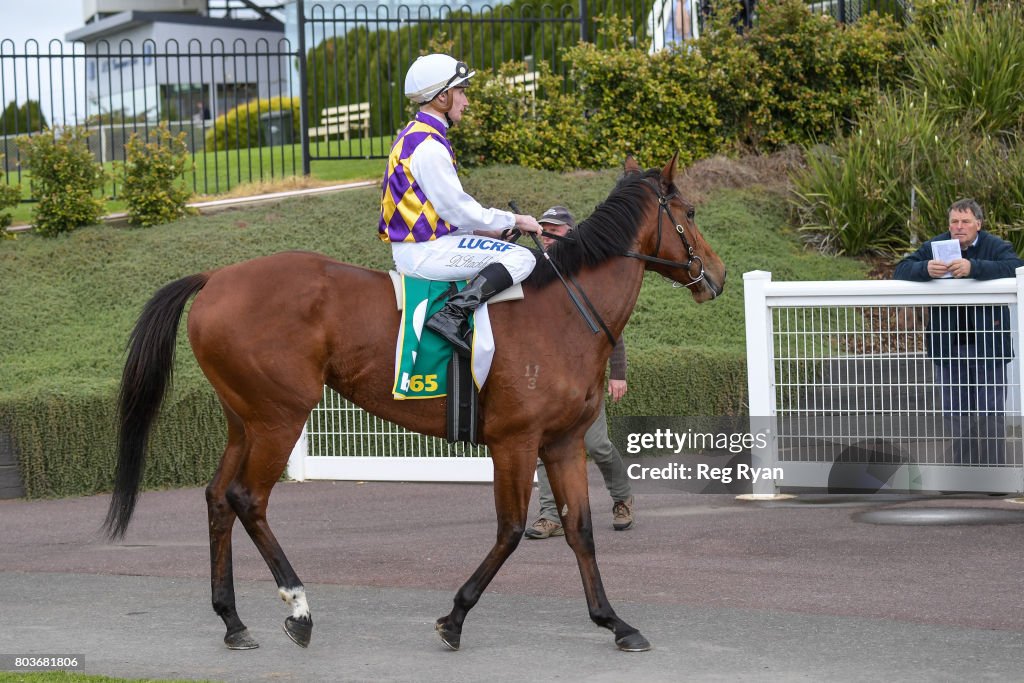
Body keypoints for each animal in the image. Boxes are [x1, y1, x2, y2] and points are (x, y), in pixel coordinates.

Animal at [101, 152, 729, 655]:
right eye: (692, 212)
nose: (718, 277)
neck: (565, 310)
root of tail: (215, 278)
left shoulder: (563, 442)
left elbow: (581, 529)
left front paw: (615, 622)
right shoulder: (515, 441)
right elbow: (509, 530)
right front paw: (455, 617)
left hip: (245, 419)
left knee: (217, 499)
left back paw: (232, 621)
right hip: (280, 417)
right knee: (246, 499)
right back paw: (299, 610)